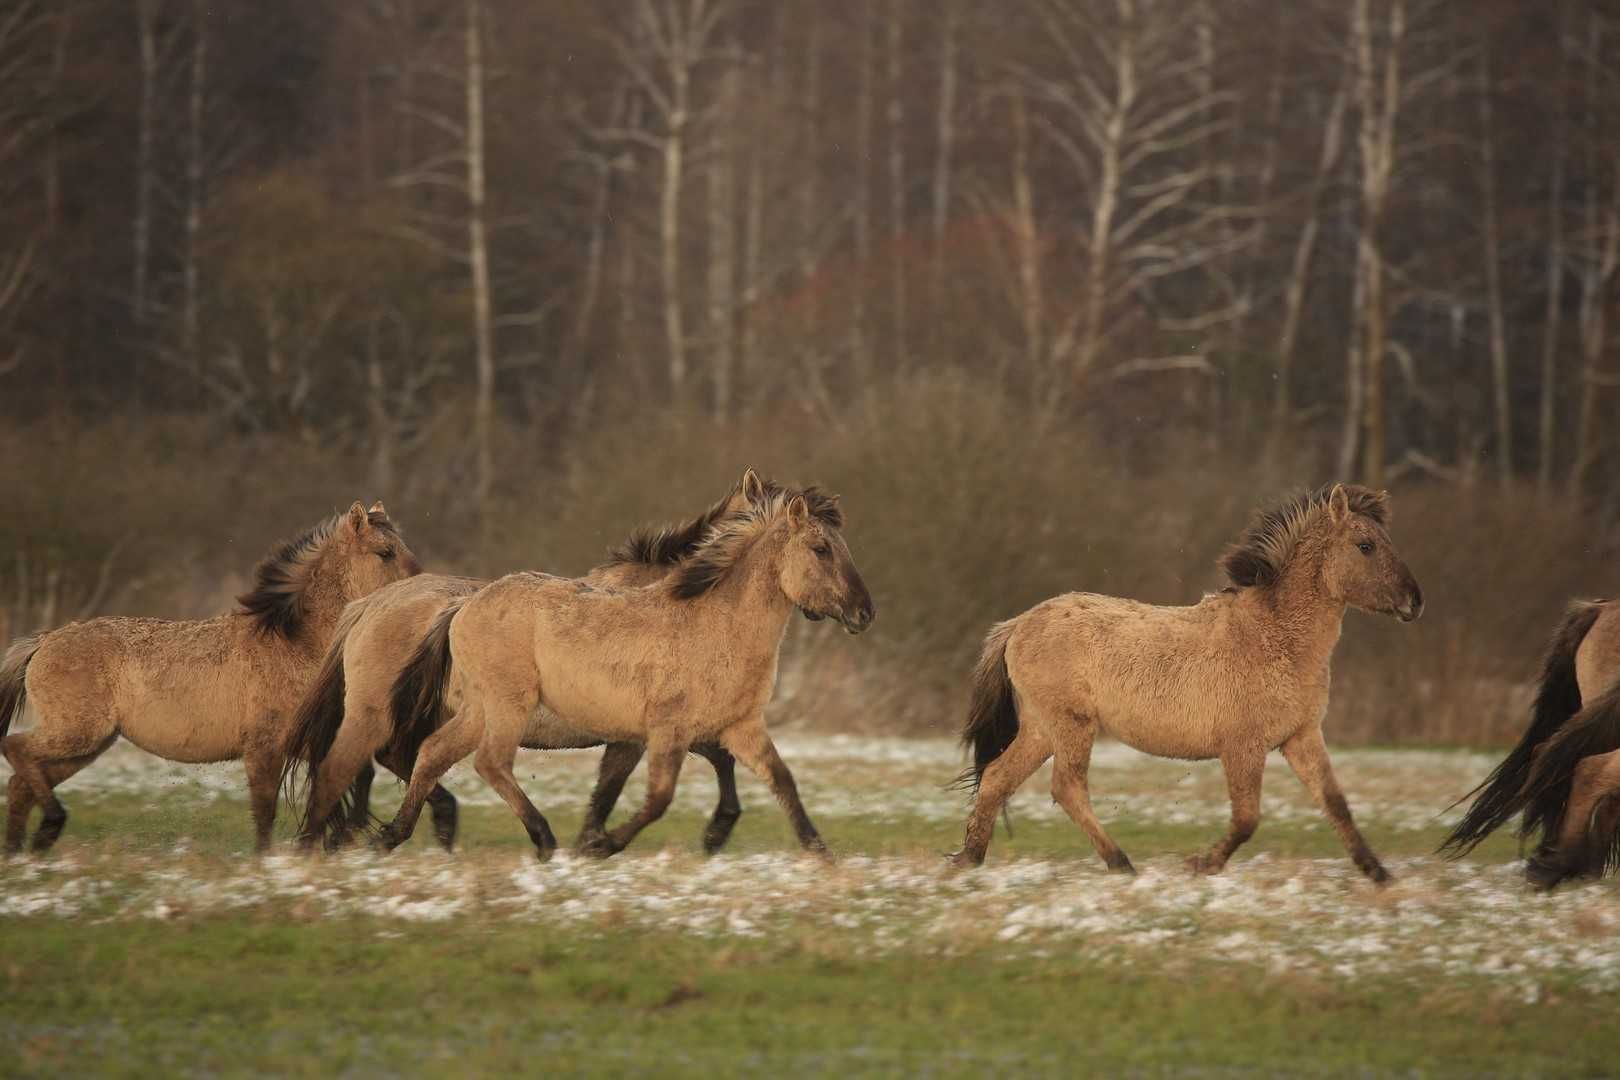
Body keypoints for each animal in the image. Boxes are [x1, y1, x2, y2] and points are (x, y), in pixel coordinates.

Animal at [1, 505, 417, 854]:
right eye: (384, 552)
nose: (416, 588)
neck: (294, 642)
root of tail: (44, 641)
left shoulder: (307, 742)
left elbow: (352, 778)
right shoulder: (265, 747)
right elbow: (265, 809)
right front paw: (266, 860)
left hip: (88, 746)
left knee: (21, 784)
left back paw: (23, 852)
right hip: (77, 733)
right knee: (15, 749)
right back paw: (50, 827)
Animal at [286, 469, 790, 854]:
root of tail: (367, 606)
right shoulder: (644, 730)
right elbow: (633, 781)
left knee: (399, 759)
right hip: (375, 715)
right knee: (340, 769)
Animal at [375, 488, 874, 861]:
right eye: (820, 548)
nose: (864, 613)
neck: (715, 625)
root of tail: (464, 606)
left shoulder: (740, 726)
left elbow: (782, 779)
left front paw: (820, 852)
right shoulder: (666, 731)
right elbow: (656, 798)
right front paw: (600, 846)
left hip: (479, 710)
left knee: (432, 752)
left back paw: (392, 835)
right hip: (506, 707)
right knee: (490, 762)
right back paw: (544, 839)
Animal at [946, 485, 1419, 880]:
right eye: (1365, 545)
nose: (1415, 601)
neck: (1276, 636)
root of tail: (1018, 625)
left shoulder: (1301, 737)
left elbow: (1336, 804)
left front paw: (1377, 872)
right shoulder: (1243, 748)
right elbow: (1247, 818)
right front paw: (1202, 864)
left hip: (1042, 730)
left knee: (997, 778)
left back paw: (969, 857)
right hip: (1070, 726)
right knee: (1067, 788)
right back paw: (1120, 862)